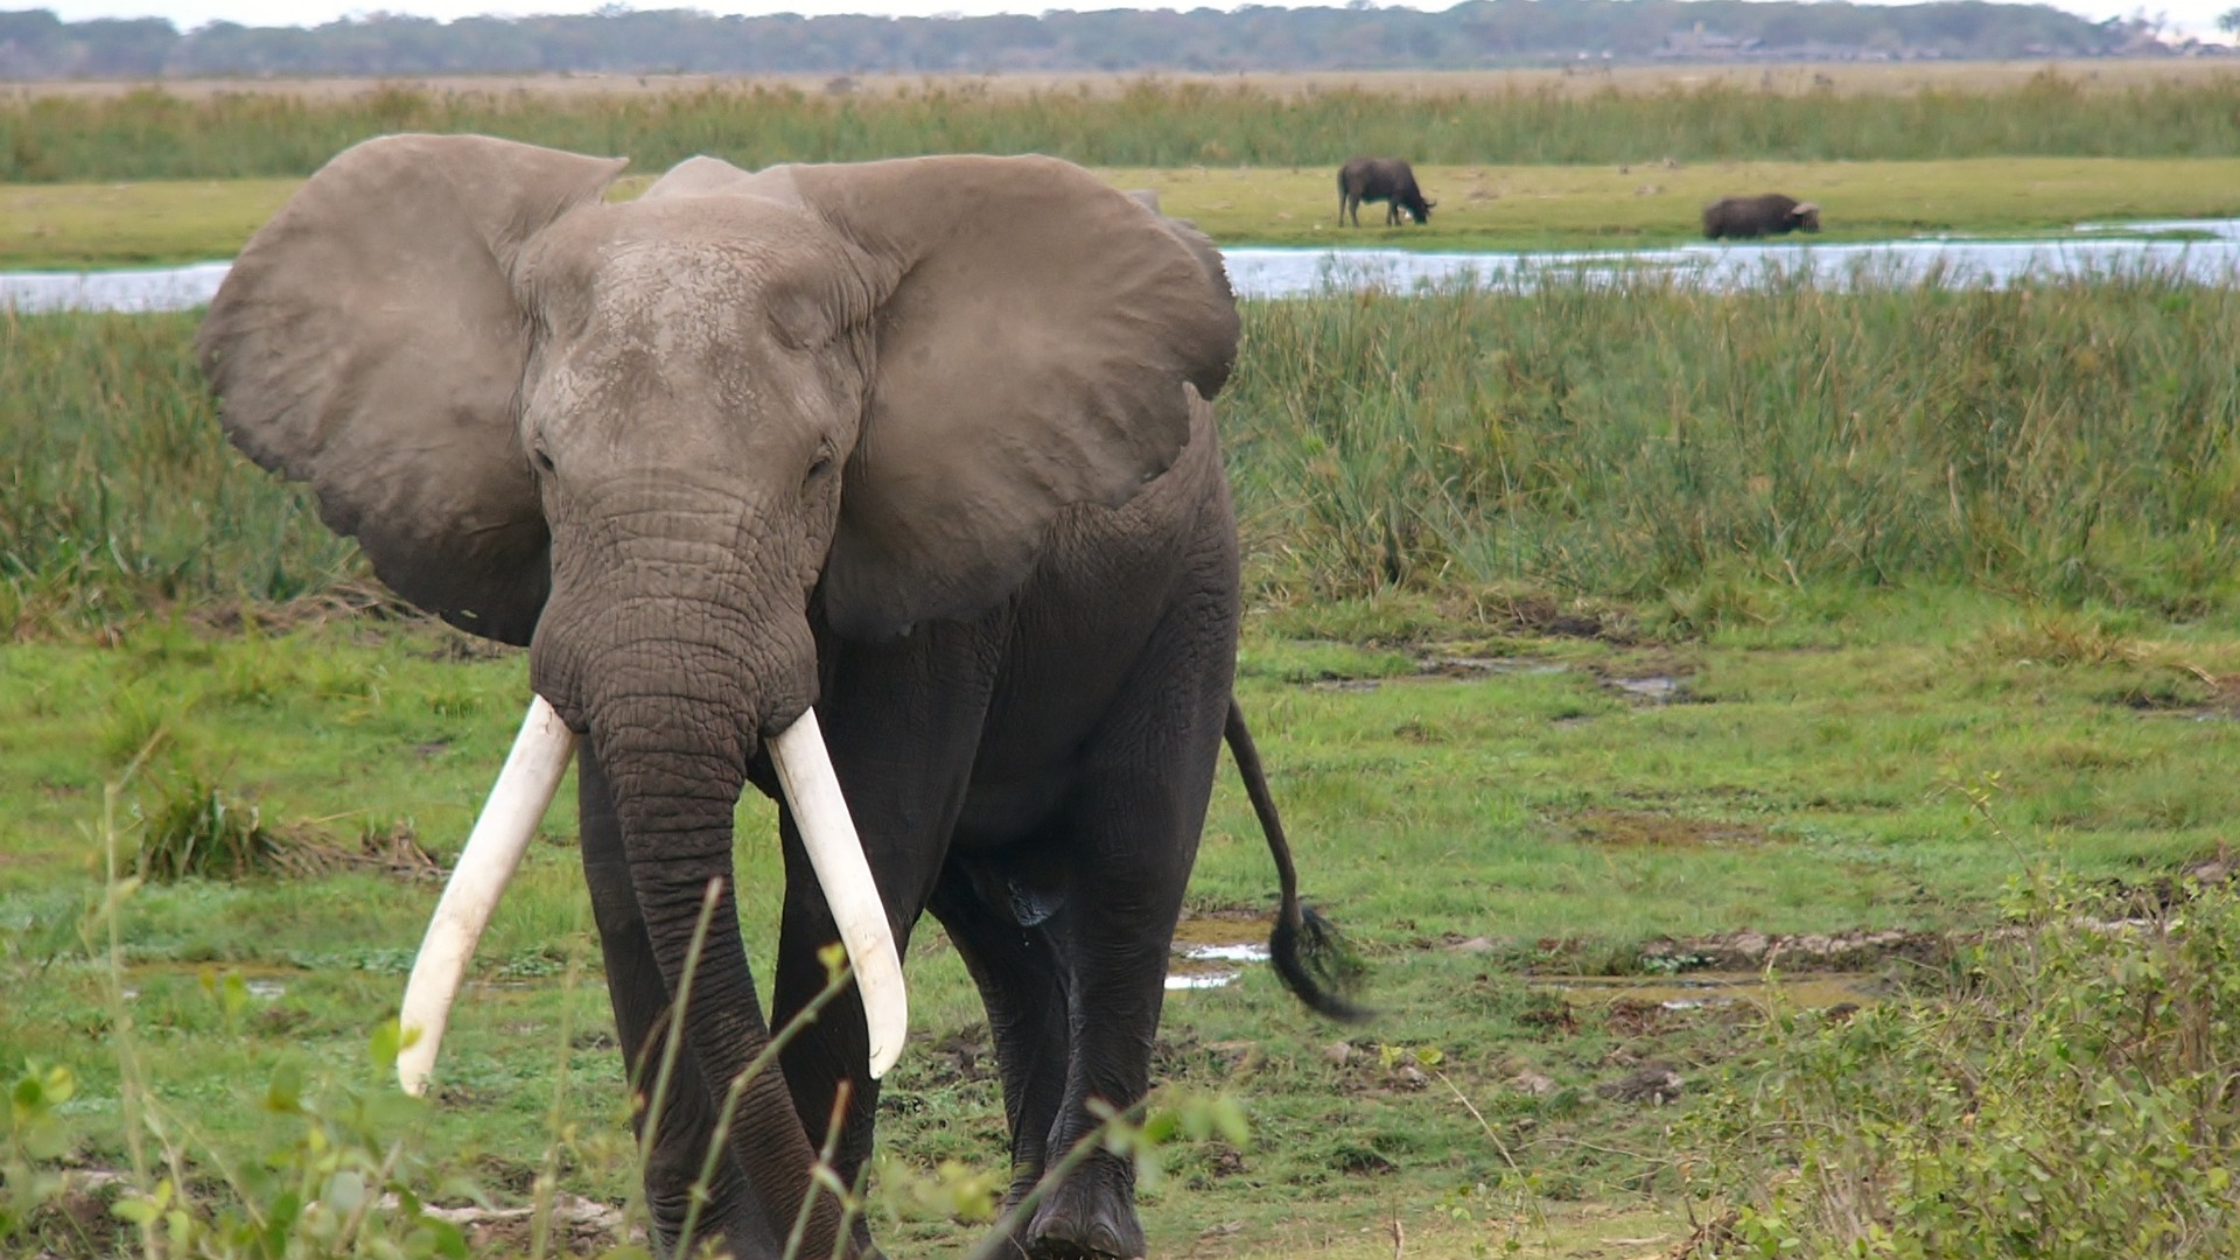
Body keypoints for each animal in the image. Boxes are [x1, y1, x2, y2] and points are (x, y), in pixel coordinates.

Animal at [197, 135, 1344, 1255]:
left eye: (819, 467)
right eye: (543, 462)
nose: (847, 1240)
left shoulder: (936, 560)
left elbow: (862, 852)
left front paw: (811, 1242)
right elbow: (622, 869)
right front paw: (714, 1248)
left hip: (1191, 587)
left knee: (1130, 863)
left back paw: (1071, 1238)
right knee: (995, 924)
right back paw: (1015, 1229)